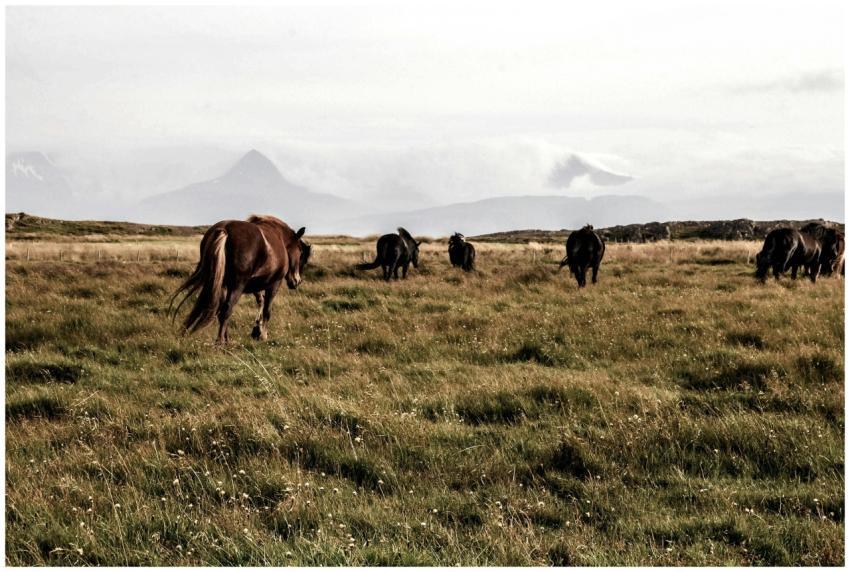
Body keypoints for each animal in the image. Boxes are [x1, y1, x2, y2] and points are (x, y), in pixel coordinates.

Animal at [170, 215, 310, 344]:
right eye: (300, 251)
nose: (297, 281)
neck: (280, 238)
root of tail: (225, 229)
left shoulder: (254, 285)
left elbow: (260, 301)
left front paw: (257, 329)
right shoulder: (274, 284)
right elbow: (267, 310)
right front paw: (262, 335)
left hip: (221, 284)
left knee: (220, 309)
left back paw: (225, 340)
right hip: (237, 286)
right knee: (226, 309)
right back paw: (220, 342)